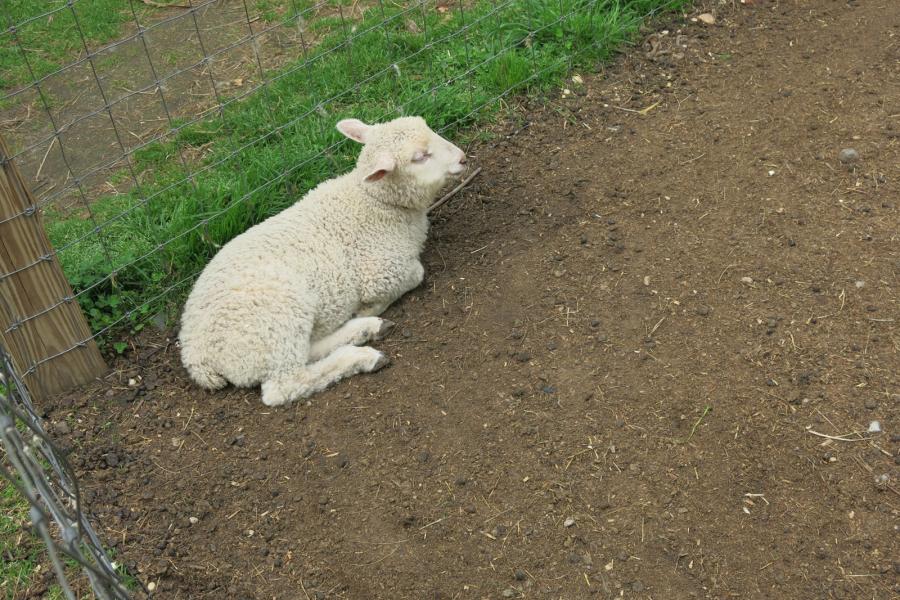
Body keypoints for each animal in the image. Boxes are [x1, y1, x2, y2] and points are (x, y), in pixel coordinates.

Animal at [178, 116, 468, 408]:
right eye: (420, 157)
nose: (463, 158)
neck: (372, 201)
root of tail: (195, 355)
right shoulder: (382, 272)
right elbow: (417, 274)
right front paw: (368, 308)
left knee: (306, 351)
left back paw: (366, 329)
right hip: (274, 321)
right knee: (285, 385)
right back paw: (363, 355)